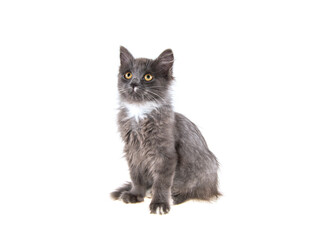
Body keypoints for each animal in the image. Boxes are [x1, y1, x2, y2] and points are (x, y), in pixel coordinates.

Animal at [112, 46, 221, 214]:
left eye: (148, 77)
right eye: (128, 74)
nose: (133, 83)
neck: (139, 112)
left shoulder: (165, 154)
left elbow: (161, 183)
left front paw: (159, 203)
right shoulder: (133, 151)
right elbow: (136, 177)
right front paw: (135, 194)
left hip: (203, 170)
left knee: (197, 192)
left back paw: (174, 197)